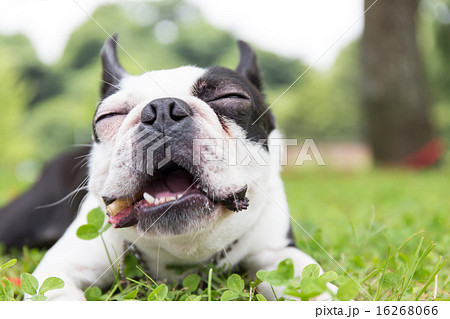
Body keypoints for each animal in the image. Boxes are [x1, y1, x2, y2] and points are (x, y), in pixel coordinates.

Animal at [29, 36, 334, 302]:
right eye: (108, 116)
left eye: (231, 96)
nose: (162, 109)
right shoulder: (60, 268)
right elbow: (56, 294)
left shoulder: (276, 251)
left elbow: (308, 278)